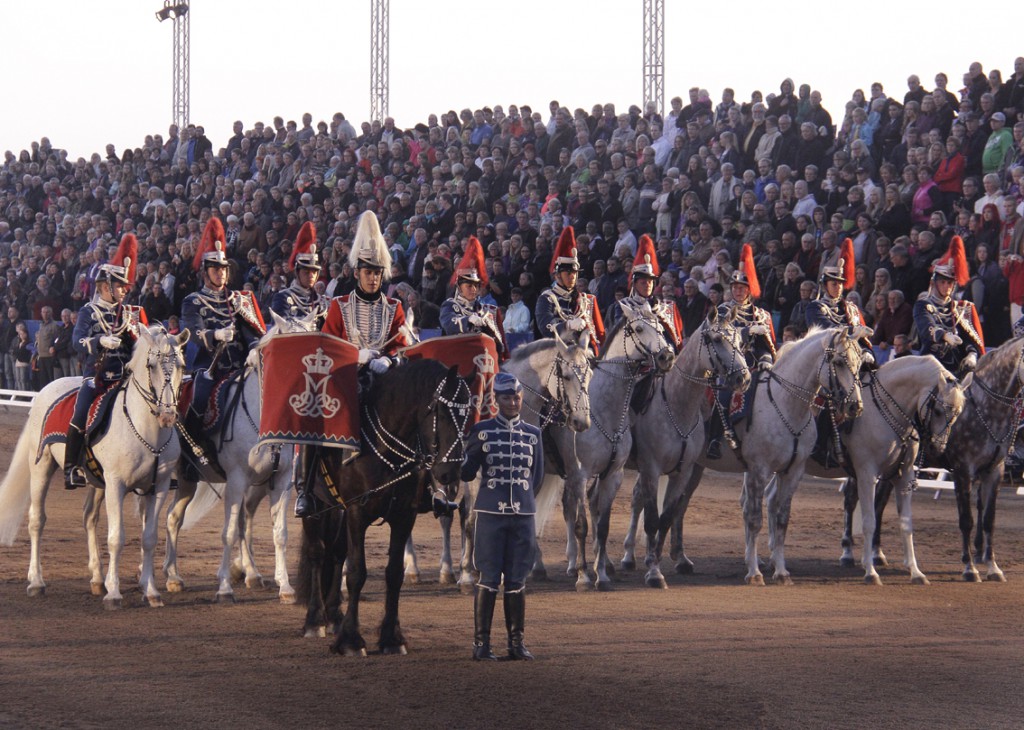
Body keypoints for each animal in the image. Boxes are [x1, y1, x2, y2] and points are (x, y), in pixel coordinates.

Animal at [0, 327, 190, 606]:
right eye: (151, 365)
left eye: (181, 366)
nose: (167, 415)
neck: (148, 432)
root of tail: (47, 388)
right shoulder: (116, 485)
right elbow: (116, 538)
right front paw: (114, 593)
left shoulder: (159, 487)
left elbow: (149, 538)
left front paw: (151, 591)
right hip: (42, 467)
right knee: (37, 520)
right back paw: (36, 581)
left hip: (96, 480)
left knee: (89, 517)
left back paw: (97, 579)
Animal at [161, 311, 315, 602]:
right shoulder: (236, 480)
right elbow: (229, 531)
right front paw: (224, 587)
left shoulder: (280, 482)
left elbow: (280, 533)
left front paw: (286, 587)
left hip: (195, 482)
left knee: (178, 518)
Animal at [299, 360, 468, 655]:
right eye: (442, 411)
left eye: (468, 412)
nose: (449, 474)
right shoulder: (357, 512)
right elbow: (357, 573)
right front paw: (351, 641)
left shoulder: (404, 516)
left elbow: (394, 573)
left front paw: (392, 638)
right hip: (317, 506)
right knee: (317, 553)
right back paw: (315, 620)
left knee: (337, 553)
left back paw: (334, 616)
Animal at [614, 311, 753, 589]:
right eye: (716, 339)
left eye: (739, 339)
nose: (743, 378)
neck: (677, 407)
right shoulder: (652, 469)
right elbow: (652, 520)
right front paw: (654, 572)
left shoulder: (683, 472)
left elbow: (666, 518)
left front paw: (656, 562)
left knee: (639, 500)